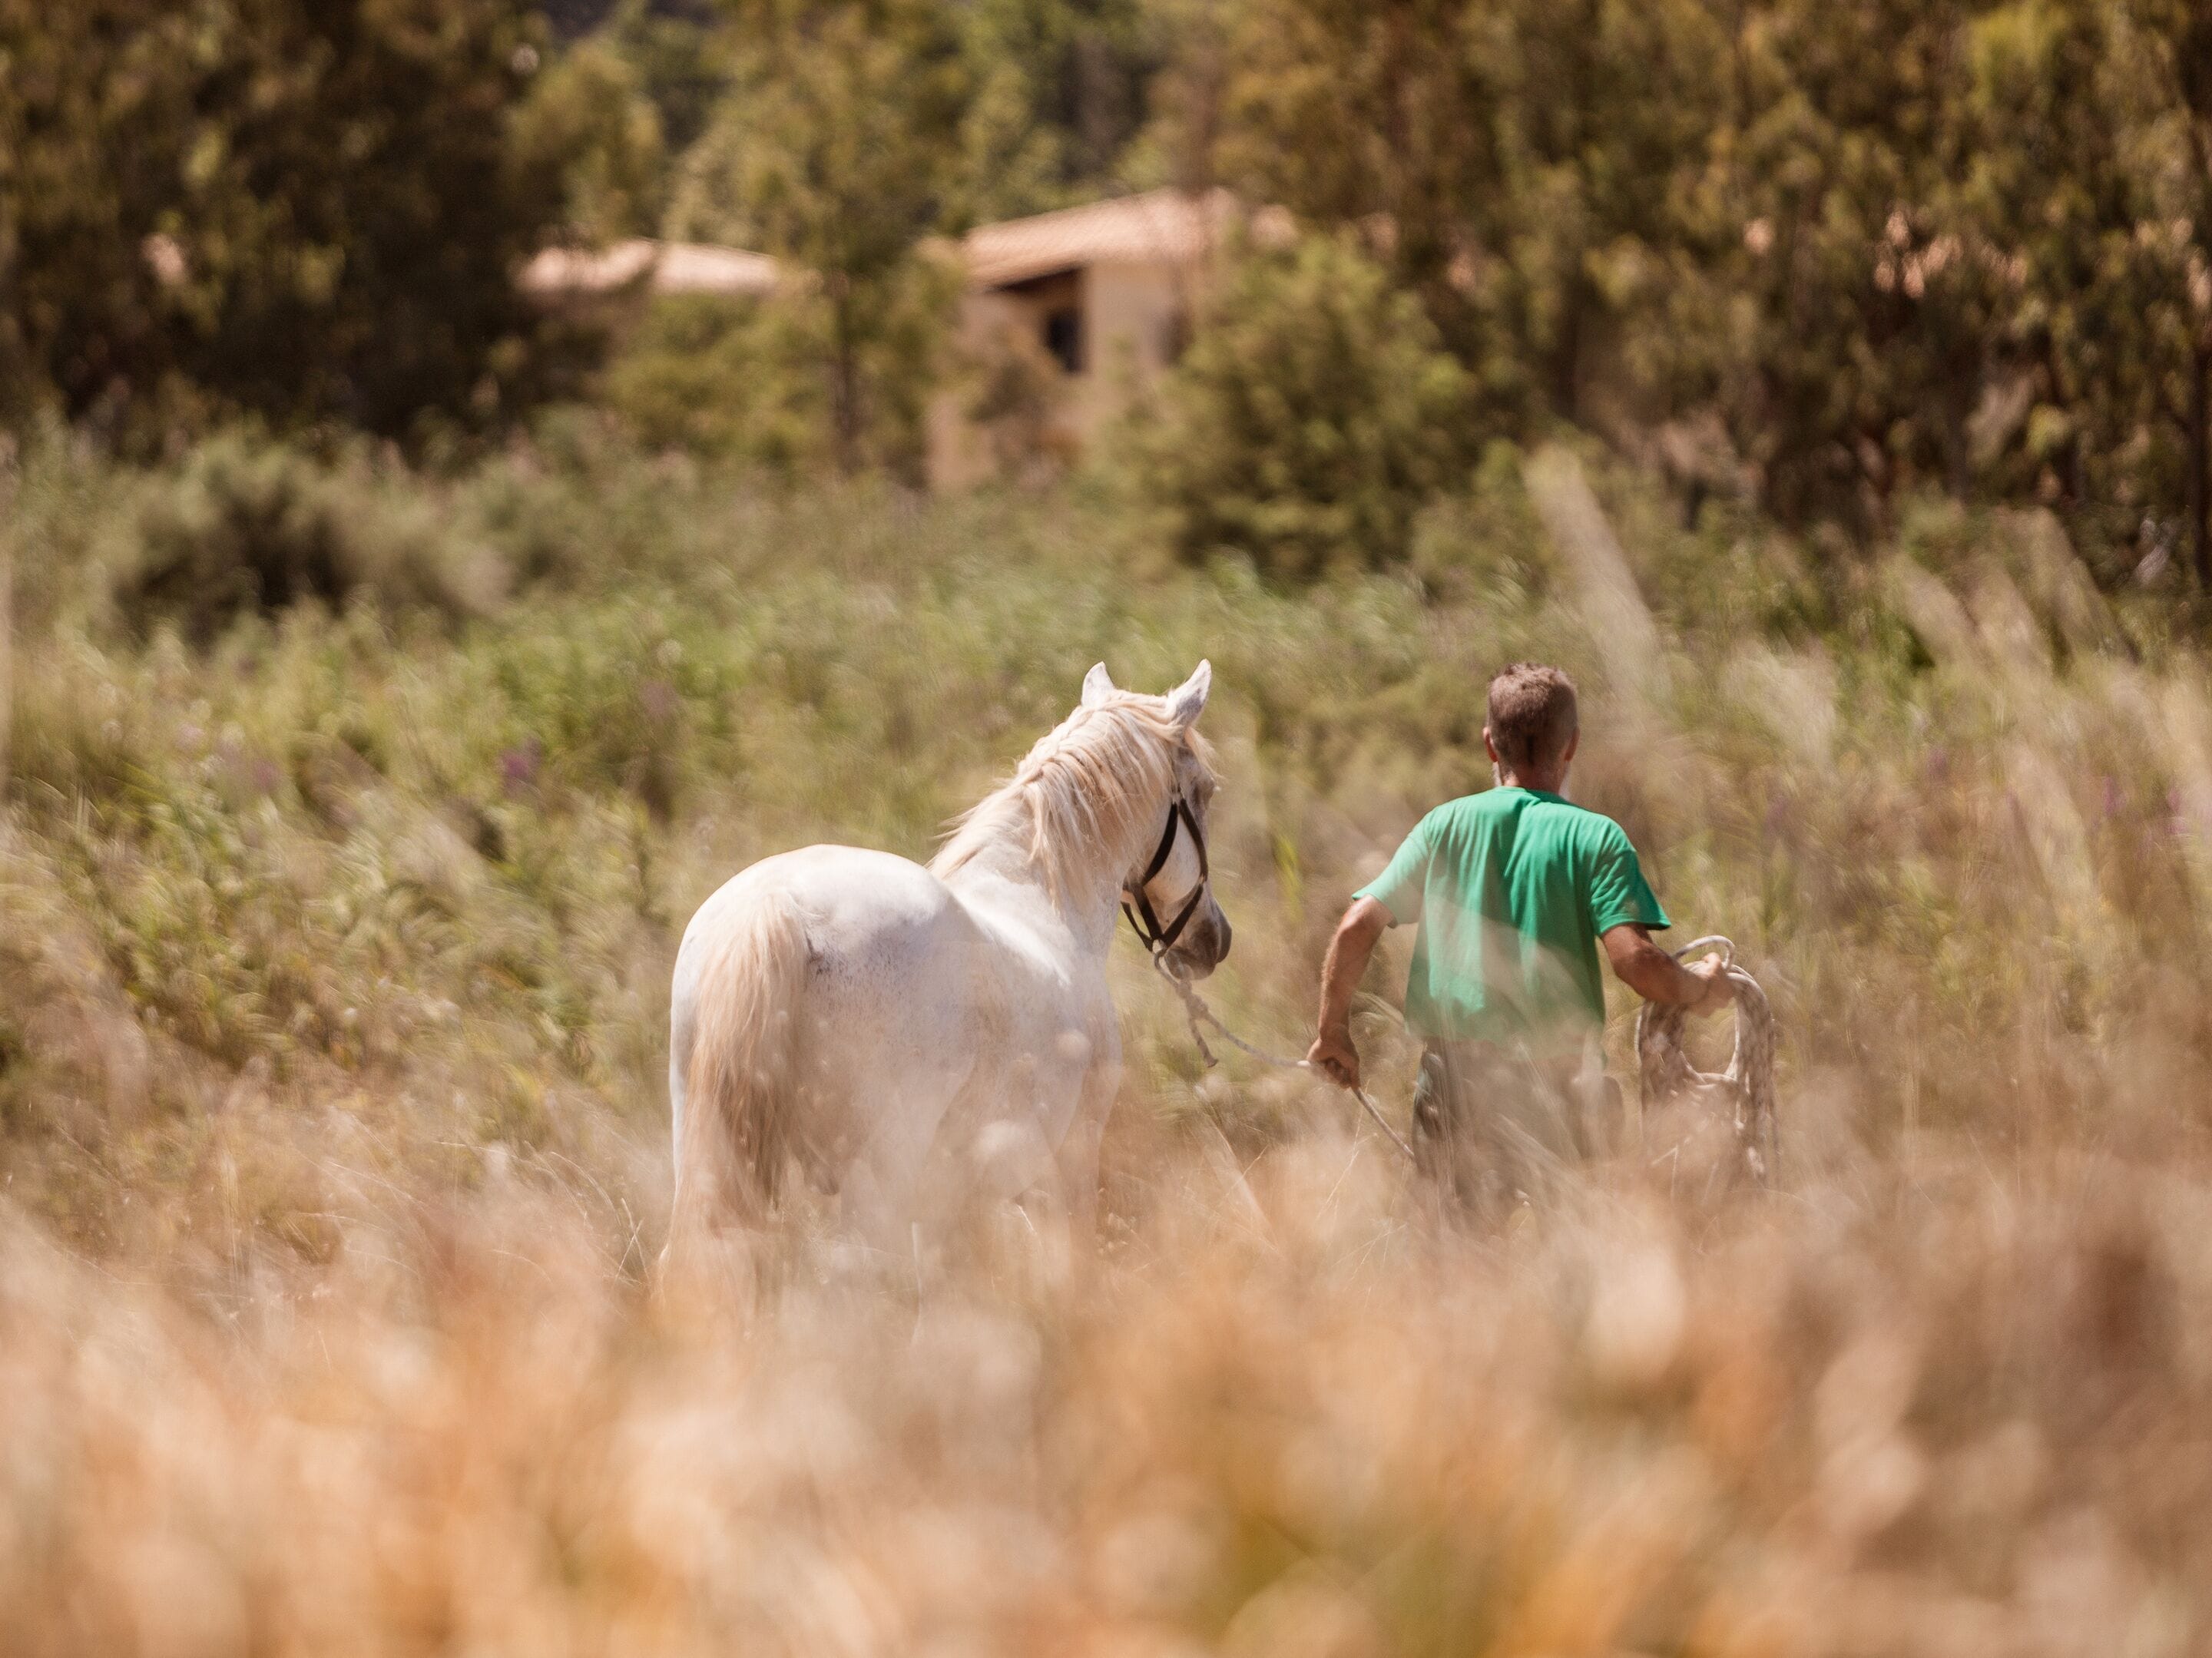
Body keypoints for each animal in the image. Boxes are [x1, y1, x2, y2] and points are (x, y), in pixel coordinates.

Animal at [665, 660, 1231, 1260]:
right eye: (1204, 791)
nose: (1215, 939)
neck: (1039, 897)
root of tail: (781, 904)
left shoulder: (949, 1209)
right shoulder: (1069, 1167)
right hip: (873, 1188)